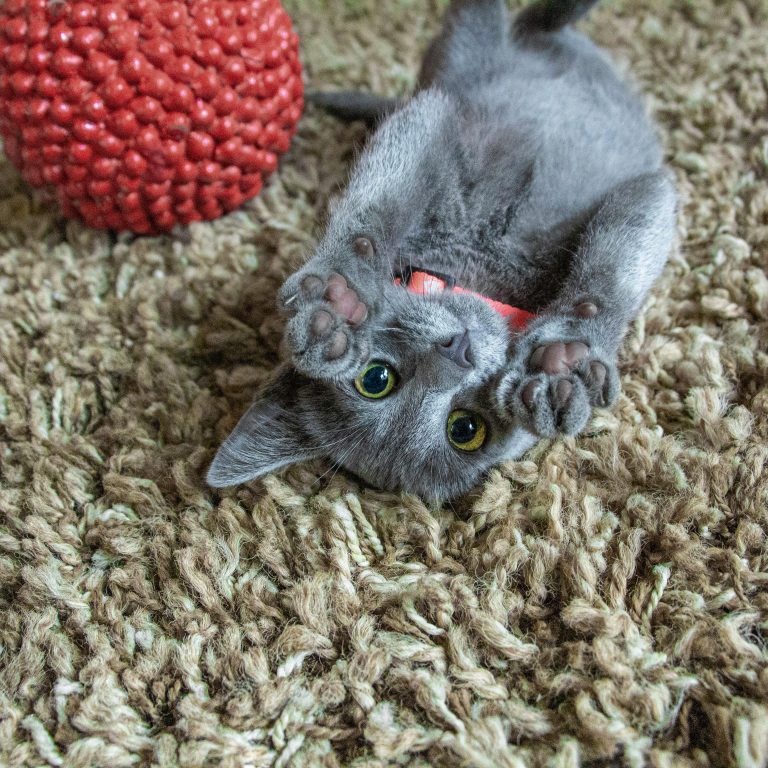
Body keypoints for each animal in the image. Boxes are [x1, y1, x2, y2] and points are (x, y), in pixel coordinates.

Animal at [207, 0, 676, 500]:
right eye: (466, 429)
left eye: (375, 379)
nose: (459, 353)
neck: (477, 268)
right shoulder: (433, 115)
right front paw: (342, 300)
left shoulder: (437, 120)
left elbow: (610, 267)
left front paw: (568, 358)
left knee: (507, 20)